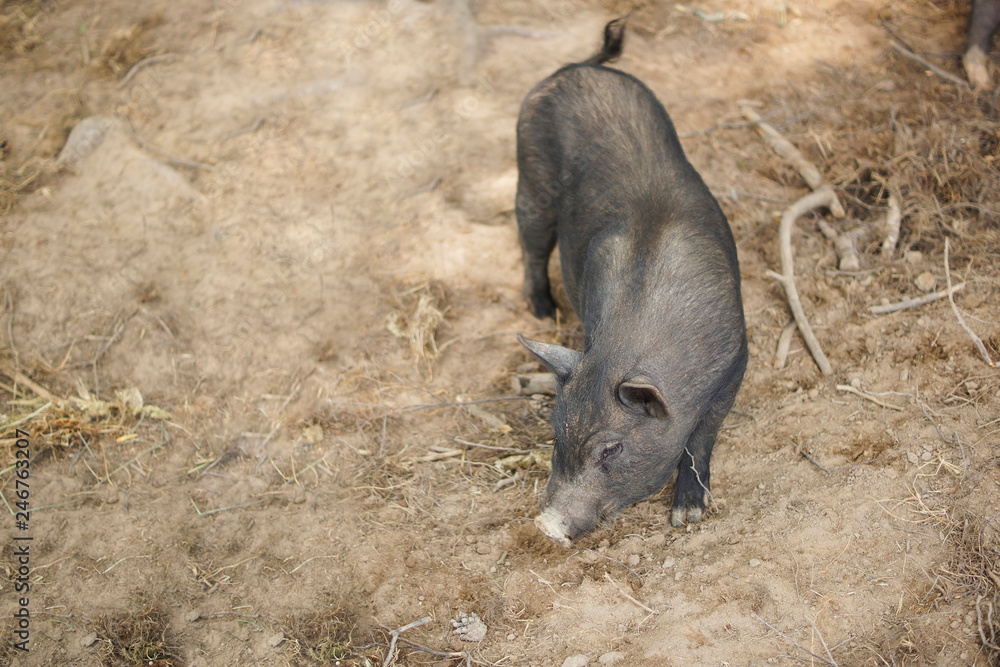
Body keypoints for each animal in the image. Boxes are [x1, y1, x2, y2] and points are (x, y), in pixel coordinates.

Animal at [520, 18, 748, 548]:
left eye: (611, 450)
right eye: (557, 436)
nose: (545, 524)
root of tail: (575, 67)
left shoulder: (736, 363)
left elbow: (702, 436)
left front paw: (687, 517)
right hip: (529, 177)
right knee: (530, 246)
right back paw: (541, 311)